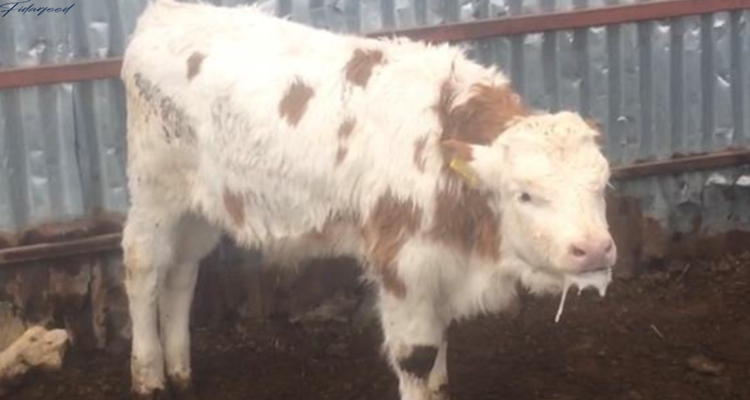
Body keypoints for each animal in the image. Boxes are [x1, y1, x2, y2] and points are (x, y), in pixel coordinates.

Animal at [120, 1, 617, 399]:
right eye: (525, 194)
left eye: (601, 185)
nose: (594, 249)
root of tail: (168, 11)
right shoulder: (402, 262)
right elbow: (416, 356)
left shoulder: (438, 263)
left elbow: (440, 344)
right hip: (154, 189)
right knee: (143, 264)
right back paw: (149, 376)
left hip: (198, 203)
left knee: (182, 271)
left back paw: (181, 370)